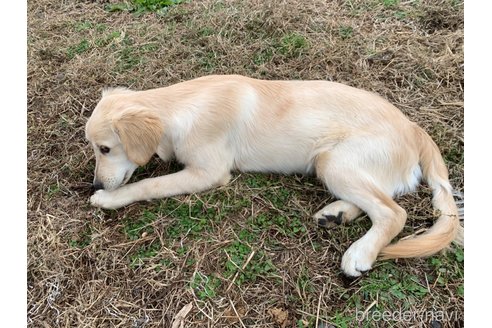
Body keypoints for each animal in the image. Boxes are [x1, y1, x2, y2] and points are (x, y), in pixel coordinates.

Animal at [86, 73, 464, 276]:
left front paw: (109, 197)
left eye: (104, 149)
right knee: (378, 201)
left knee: (393, 212)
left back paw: (360, 252)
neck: (181, 105)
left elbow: (149, 184)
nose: (94, 182)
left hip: (333, 161)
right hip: (338, 165)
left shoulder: (209, 172)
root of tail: (414, 128)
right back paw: (336, 214)